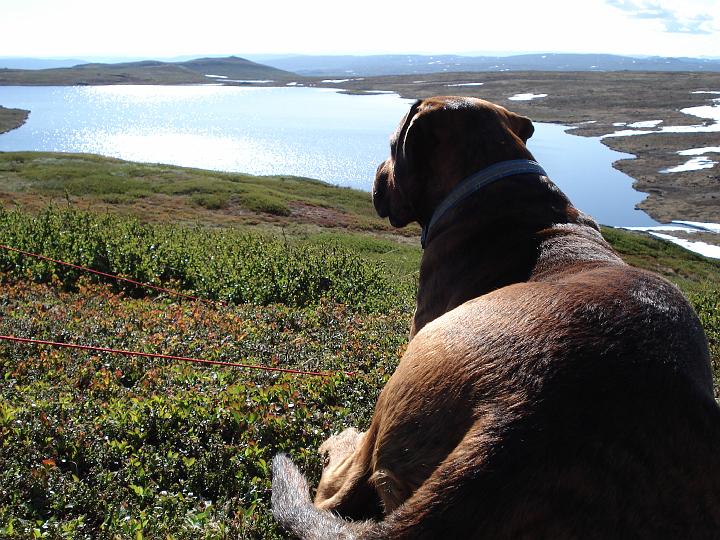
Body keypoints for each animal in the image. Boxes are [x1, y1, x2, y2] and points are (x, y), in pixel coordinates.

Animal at [272, 97, 720, 539]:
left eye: (391, 146)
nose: (377, 180)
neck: (497, 185)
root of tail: (514, 419)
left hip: (412, 369)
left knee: (337, 488)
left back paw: (339, 445)